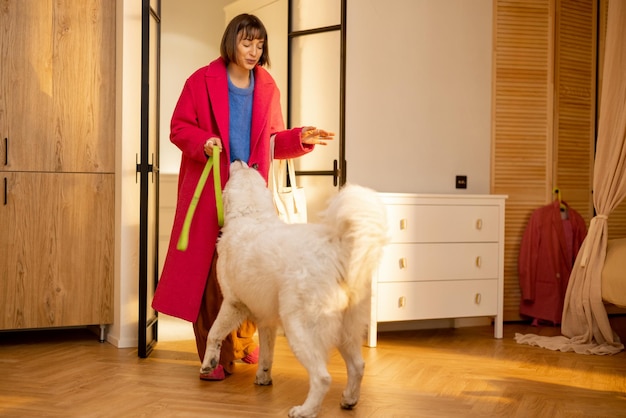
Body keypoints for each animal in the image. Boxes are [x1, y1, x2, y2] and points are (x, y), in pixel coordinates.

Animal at [201, 161, 386, 418]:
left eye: (241, 172)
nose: (242, 160)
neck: (252, 215)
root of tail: (338, 251)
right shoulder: (266, 318)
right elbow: (267, 353)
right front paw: (263, 377)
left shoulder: (234, 303)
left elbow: (214, 333)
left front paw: (208, 364)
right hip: (346, 331)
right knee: (358, 366)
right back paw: (349, 400)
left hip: (300, 328)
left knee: (322, 377)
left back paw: (305, 410)